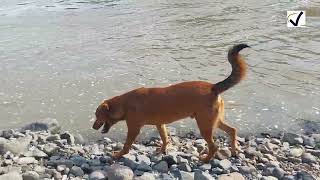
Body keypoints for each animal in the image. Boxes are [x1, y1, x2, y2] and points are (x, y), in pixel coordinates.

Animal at [92, 44, 250, 163]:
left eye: (97, 115)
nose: (93, 127)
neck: (124, 104)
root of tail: (213, 87)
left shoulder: (133, 128)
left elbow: (126, 146)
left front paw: (118, 155)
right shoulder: (160, 124)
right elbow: (165, 138)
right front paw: (162, 151)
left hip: (205, 125)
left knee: (214, 147)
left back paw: (205, 159)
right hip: (214, 121)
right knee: (232, 130)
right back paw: (234, 151)